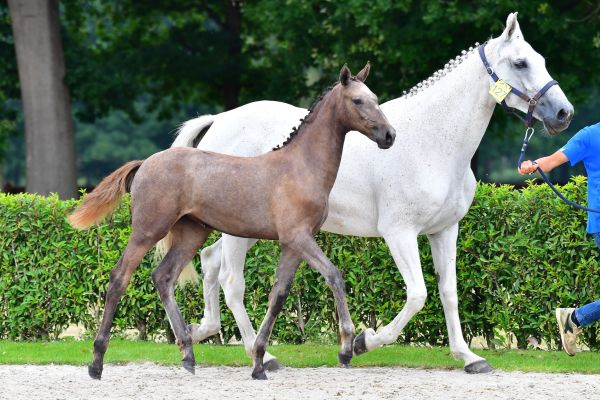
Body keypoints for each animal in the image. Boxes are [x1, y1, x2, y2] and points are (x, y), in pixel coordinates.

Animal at [163, 12, 572, 374]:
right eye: (520, 63)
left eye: (541, 60)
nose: (563, 113)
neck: (432, 139)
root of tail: (219, 121)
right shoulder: (400, 233)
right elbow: (418, 294)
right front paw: (362, 342)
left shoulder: (445, 230)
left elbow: (448, 292)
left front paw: (469, 357)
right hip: (241, 232)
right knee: (232, 282)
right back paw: (261, 355)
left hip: (246, 228)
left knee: (210, 261)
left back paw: (203, 332)